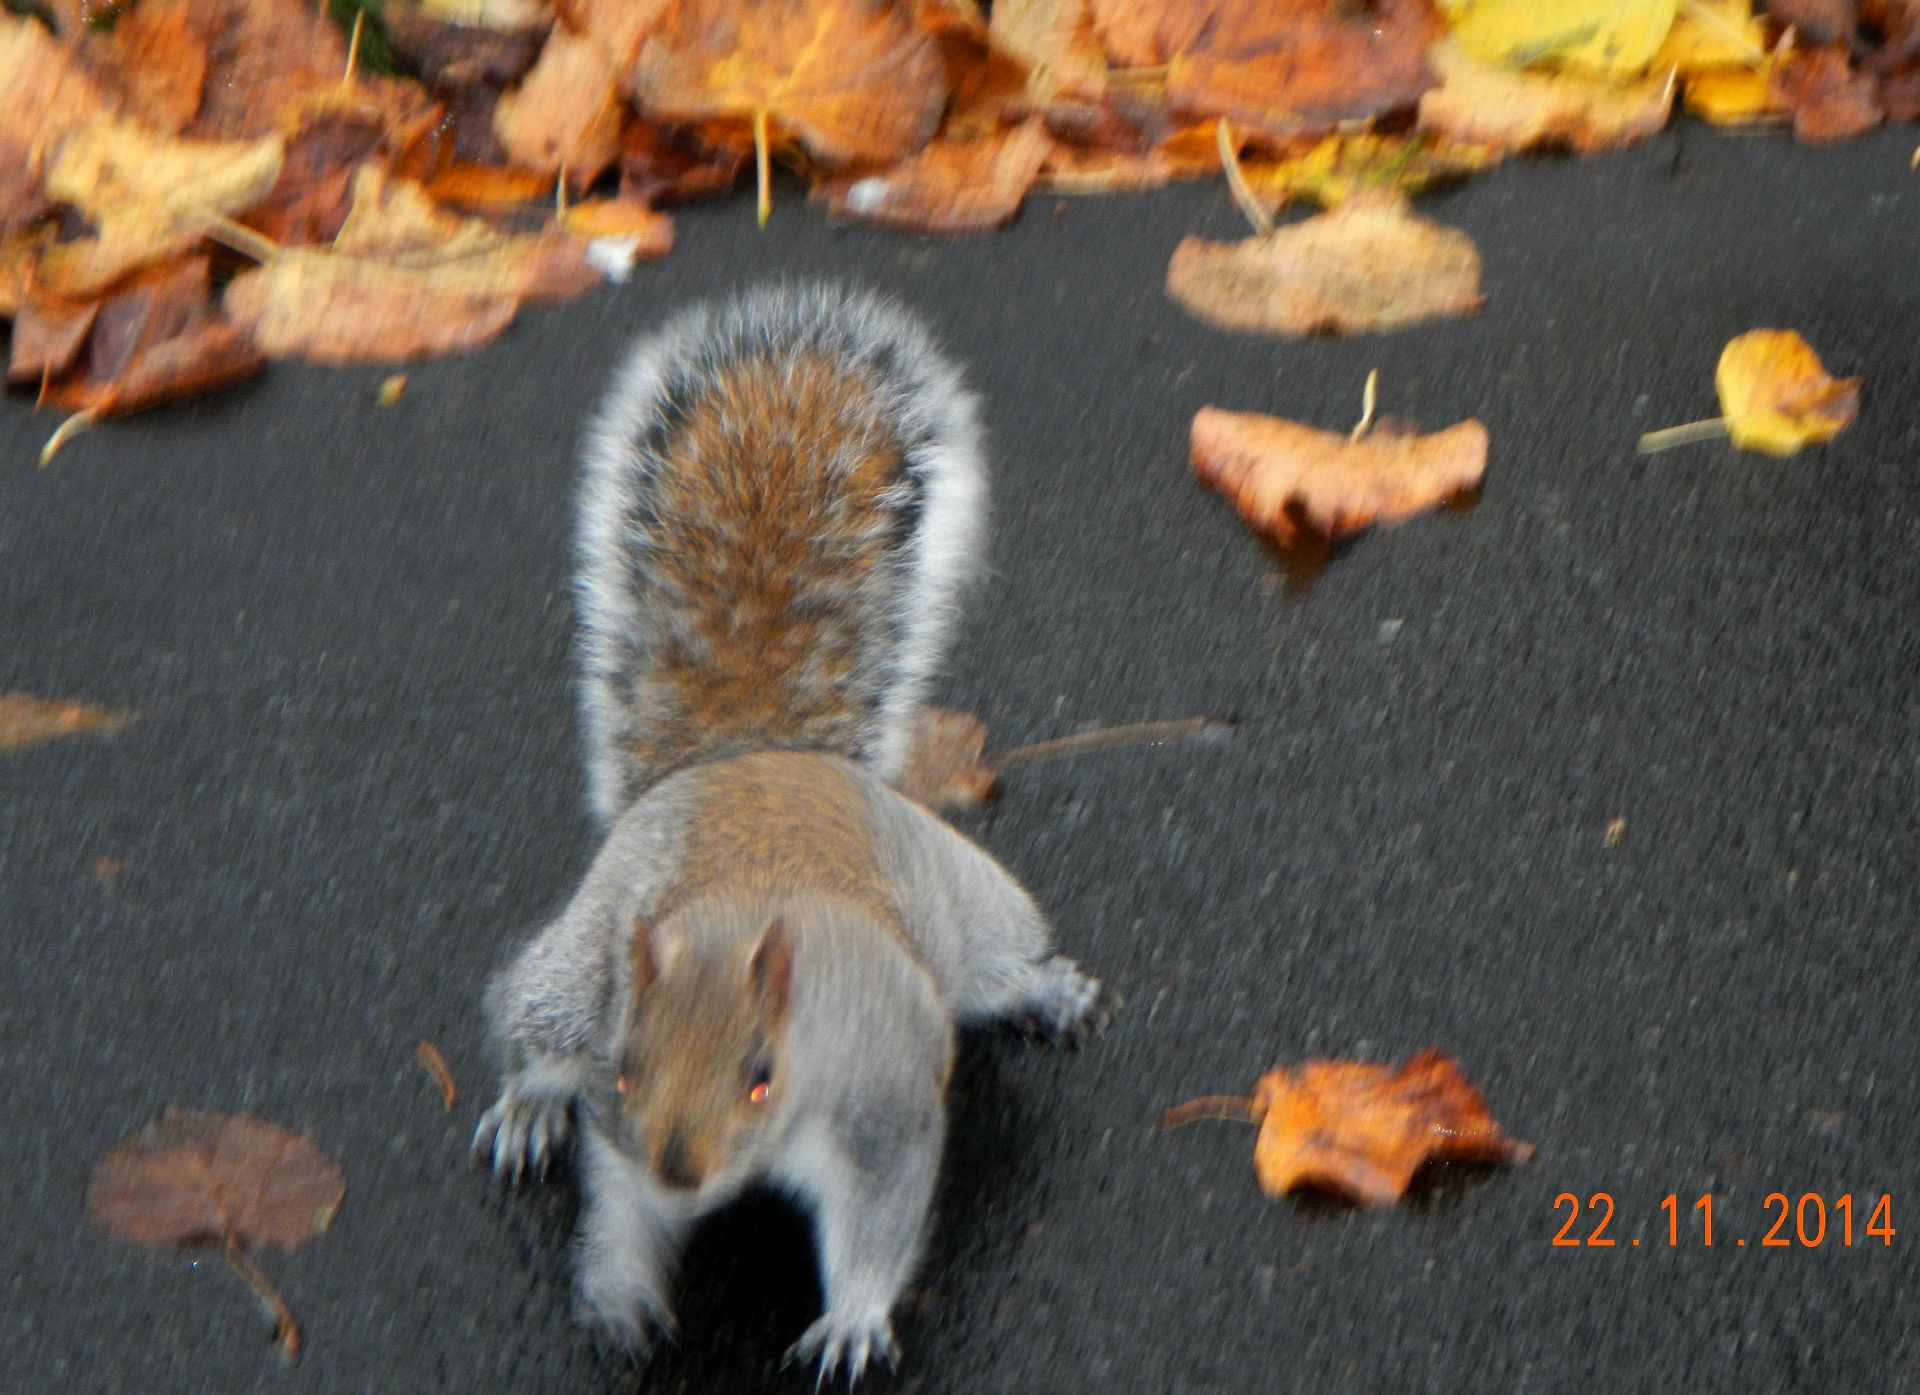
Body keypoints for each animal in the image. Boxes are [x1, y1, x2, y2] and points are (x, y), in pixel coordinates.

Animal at [472, 283, 1109, 1383]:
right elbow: (618, 1204)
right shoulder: (619, 1112)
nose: (681, 1169)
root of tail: (756, 757)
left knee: (994, 963)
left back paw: (1044, 989)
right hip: (575, 974)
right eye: (627, 1069)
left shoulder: (884, 1107)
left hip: (970, 902)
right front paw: (621, 1290)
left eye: (761, 1078)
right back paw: (527, 1105)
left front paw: (851, 1320)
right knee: (526, 1014)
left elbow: (881, 1220)